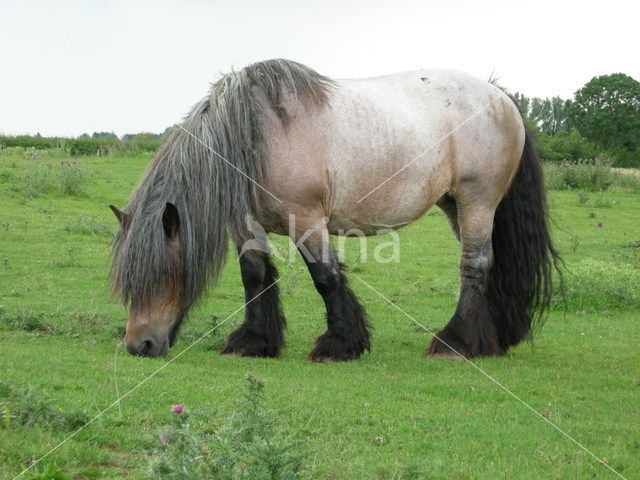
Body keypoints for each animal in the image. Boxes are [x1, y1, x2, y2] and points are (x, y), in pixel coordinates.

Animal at [110, 58, 560, 362]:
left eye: (162, 272)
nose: (139, 345)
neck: (255, 136)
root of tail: (500, 96)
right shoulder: (247, 224)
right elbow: (254, 277)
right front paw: (254, 341)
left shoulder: (307, 219)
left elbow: (325, 277)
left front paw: (341, 344)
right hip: (455, 205)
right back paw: (494, 339)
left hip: (477, 200)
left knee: (475, 265)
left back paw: (456, 342)